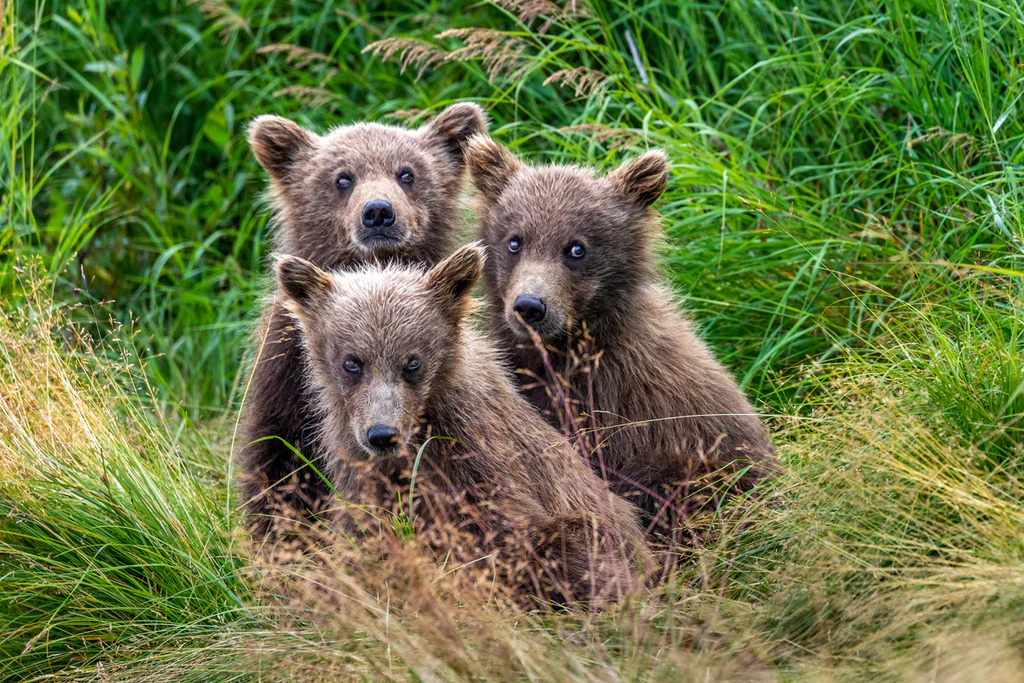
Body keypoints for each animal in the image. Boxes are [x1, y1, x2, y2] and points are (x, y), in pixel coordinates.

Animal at [274, 244, 652, 604]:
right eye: (352, 362)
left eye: (412, 362)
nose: (382, 434)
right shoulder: (358, 460)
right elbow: (366, 528)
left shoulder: (475, 449)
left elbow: (506, 524)